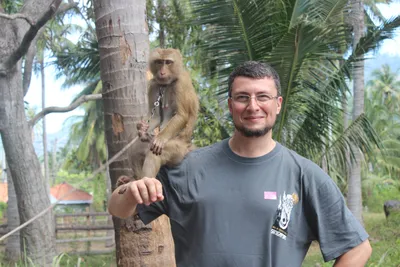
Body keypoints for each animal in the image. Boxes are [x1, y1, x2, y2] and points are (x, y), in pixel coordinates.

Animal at [116, 47, 199, 191]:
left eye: (168, 62)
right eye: (159, 62)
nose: (162, 72)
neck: (168, 83)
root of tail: (188, 146)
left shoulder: (181, 83)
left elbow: (181, 115)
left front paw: (160, 138)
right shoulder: (154, 84)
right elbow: (155, 116)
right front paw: (141, 128)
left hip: (179, 150)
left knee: (155, 152)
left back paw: (144, 182)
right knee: (136, 146)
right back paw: (135, 179)